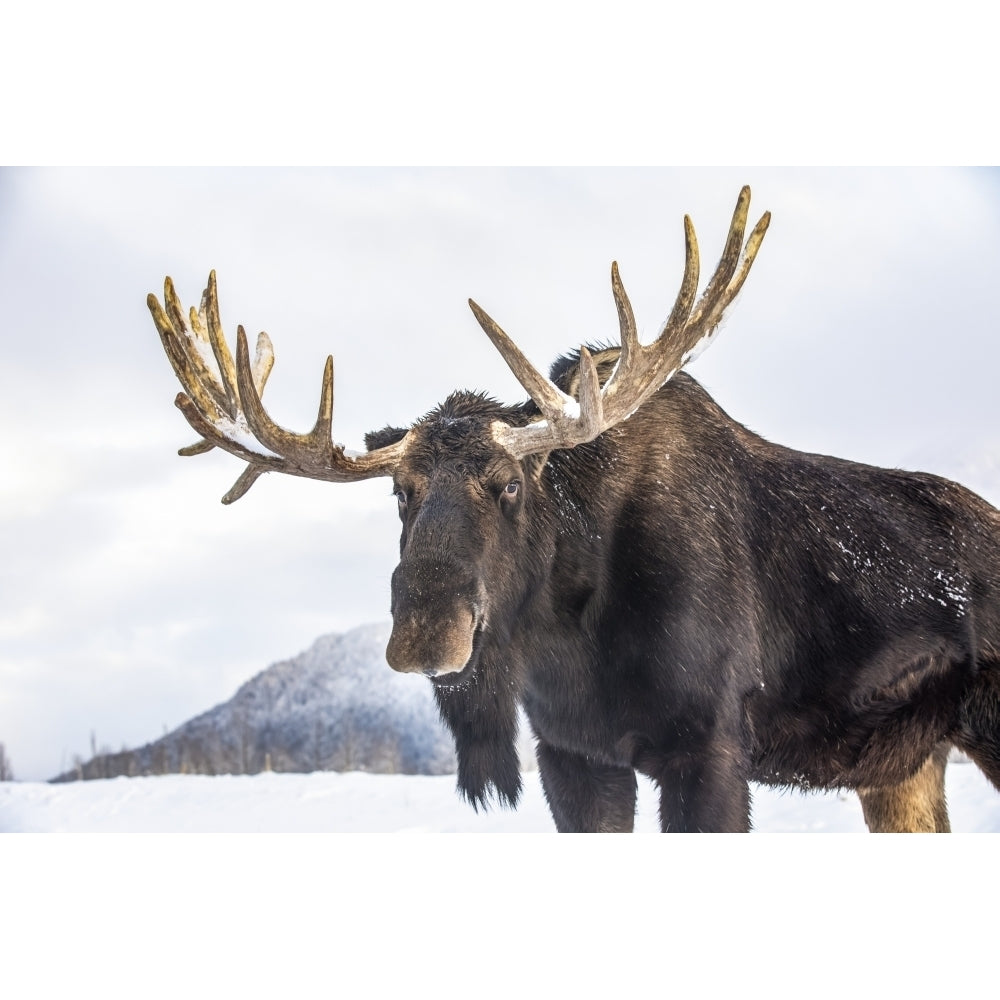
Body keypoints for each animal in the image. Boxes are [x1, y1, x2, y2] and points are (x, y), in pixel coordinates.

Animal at [146, 186, 1000, 828]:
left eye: (511, 484)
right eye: (400, 491)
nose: (425, 632)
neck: (573, 633)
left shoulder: (710, 751)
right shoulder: (573, 757)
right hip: (903, 767)